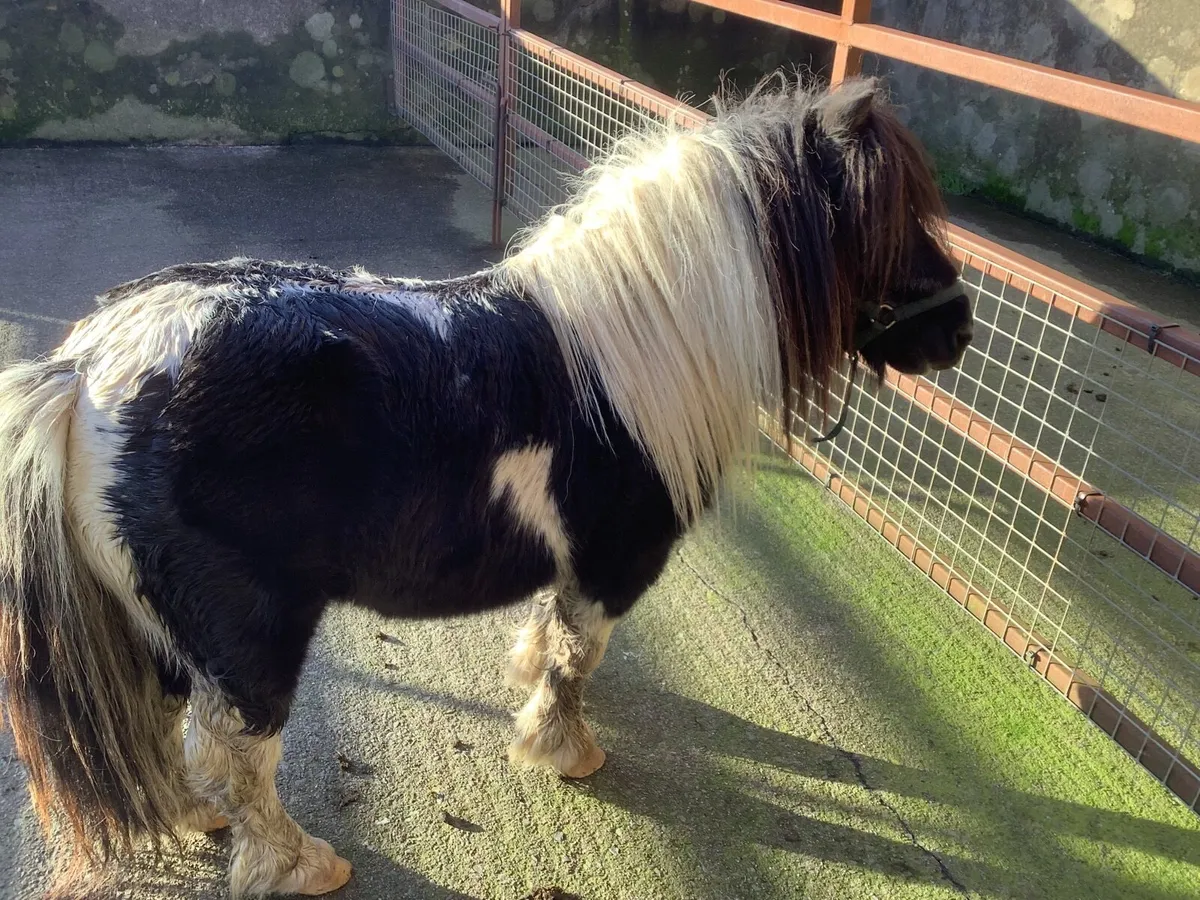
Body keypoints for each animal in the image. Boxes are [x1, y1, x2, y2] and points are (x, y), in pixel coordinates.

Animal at [0, 76, 972, 897]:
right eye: (887, 222)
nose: (959, 331)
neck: (636, 345)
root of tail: (87, 367)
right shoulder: (615, 561)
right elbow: (580, 658)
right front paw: (565, 751)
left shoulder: (574, 560)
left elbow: (552, 635)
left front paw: (533, 687)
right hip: (249, 632)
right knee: (232, 754)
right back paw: (302, 865)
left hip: (164, 624)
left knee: (166, 725)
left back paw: (196, 819)